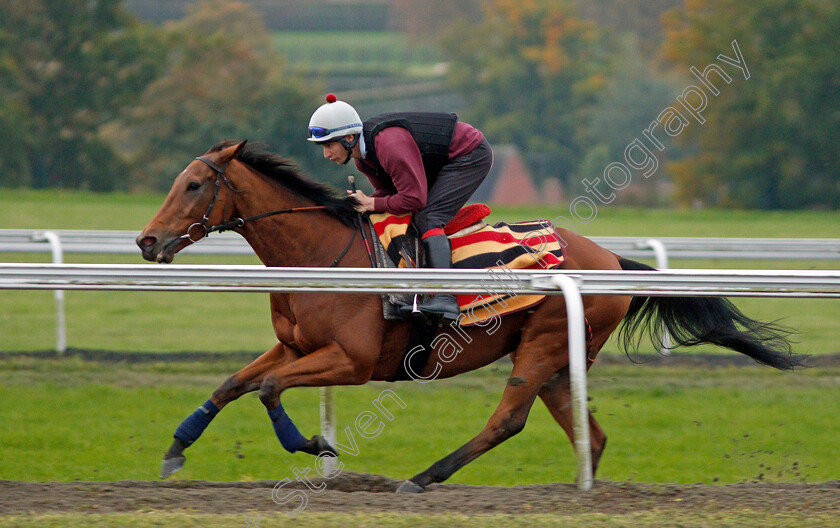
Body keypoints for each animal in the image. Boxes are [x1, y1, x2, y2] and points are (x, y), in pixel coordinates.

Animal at [136, 140, 800, 490]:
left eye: (193, 185)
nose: (146, 241)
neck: (323, 255)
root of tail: (608, 257)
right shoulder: (297, 346)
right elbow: (233, 383)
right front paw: (176, 448)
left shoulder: (349, 361)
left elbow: (269, 388)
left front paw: (313, 446)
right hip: (557, 356)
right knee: (585, 430)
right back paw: (578, 490)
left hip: (543, 344)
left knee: (507, 419)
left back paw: (426, 476)